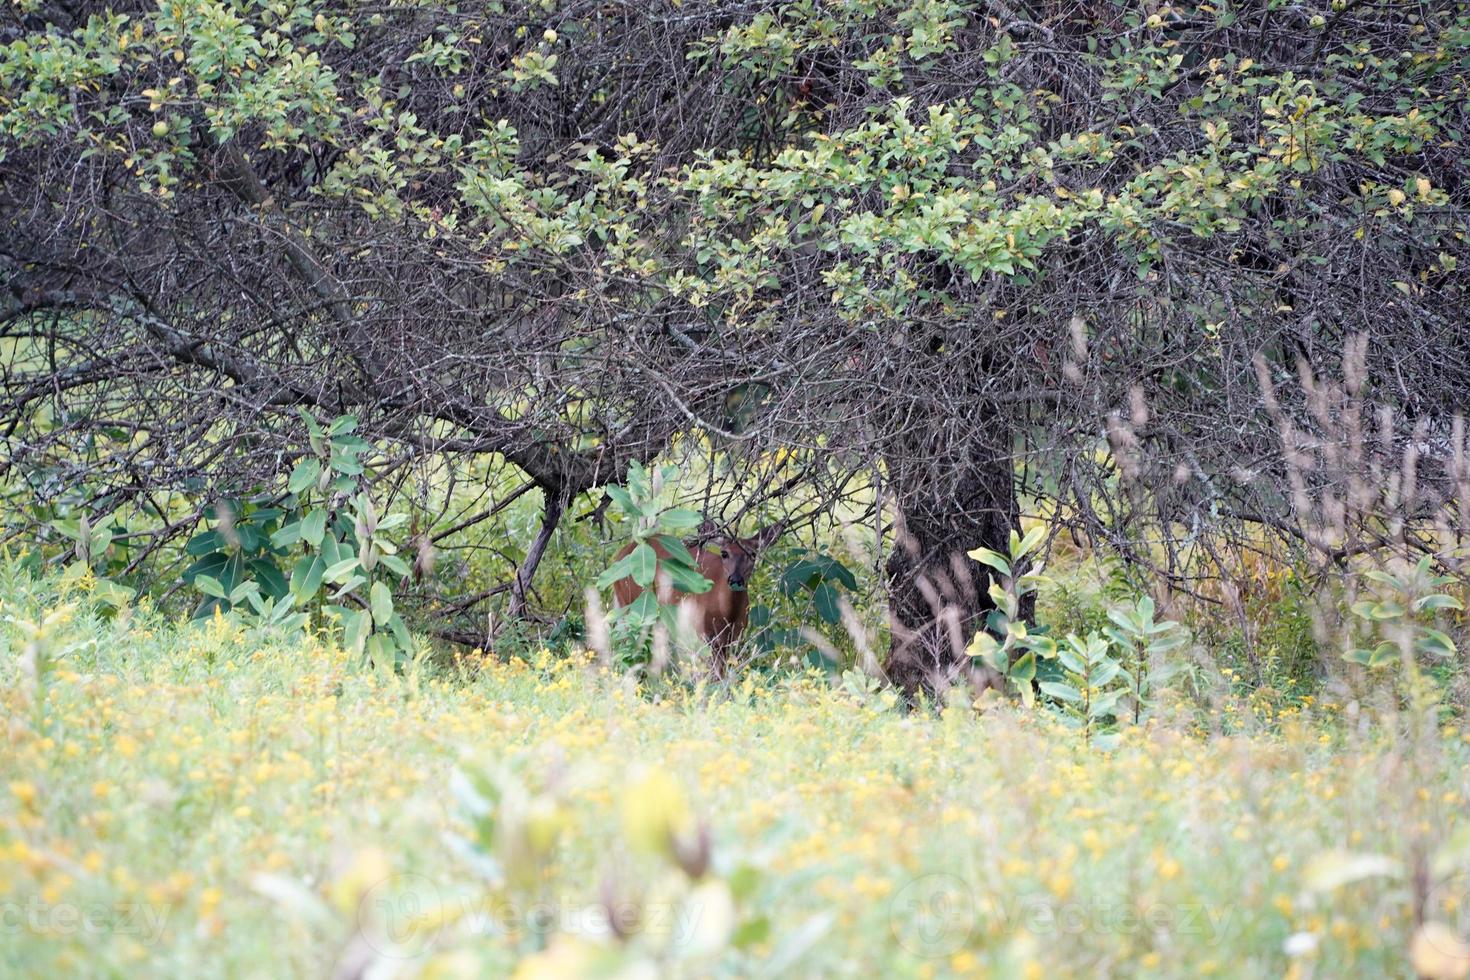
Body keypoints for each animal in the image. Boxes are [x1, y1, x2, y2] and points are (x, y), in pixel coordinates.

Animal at [611, 520, 787, 675]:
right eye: (724, 553)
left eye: (752, 554)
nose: (735, 579)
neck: (725, 612)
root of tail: (622, 551)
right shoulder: (701, 631)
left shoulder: (735, 636)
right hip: (632, 605)